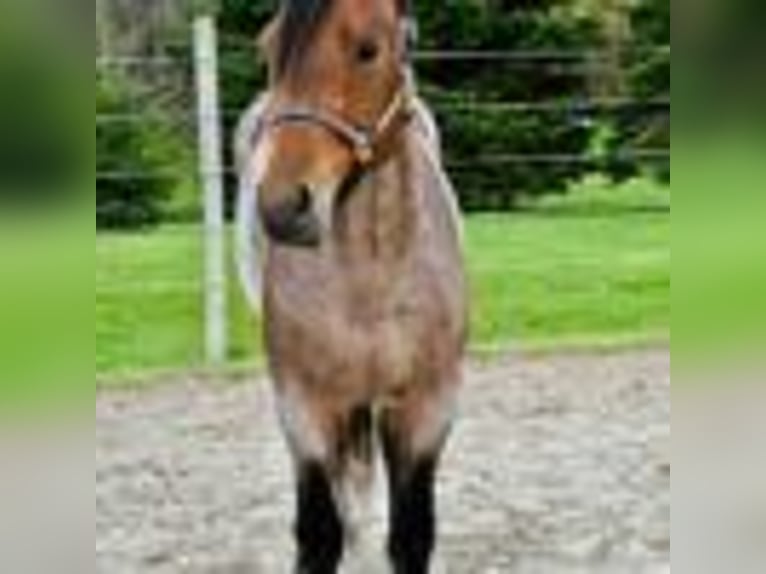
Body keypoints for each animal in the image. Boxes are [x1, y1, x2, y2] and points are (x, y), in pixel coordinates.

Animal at [235, 1, 467, 572]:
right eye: (269, 48)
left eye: (368, 49)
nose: (282, 207)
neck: (373, 280)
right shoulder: (305, 408)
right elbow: (319, 535)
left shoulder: (427, 409)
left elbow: (411, 536)